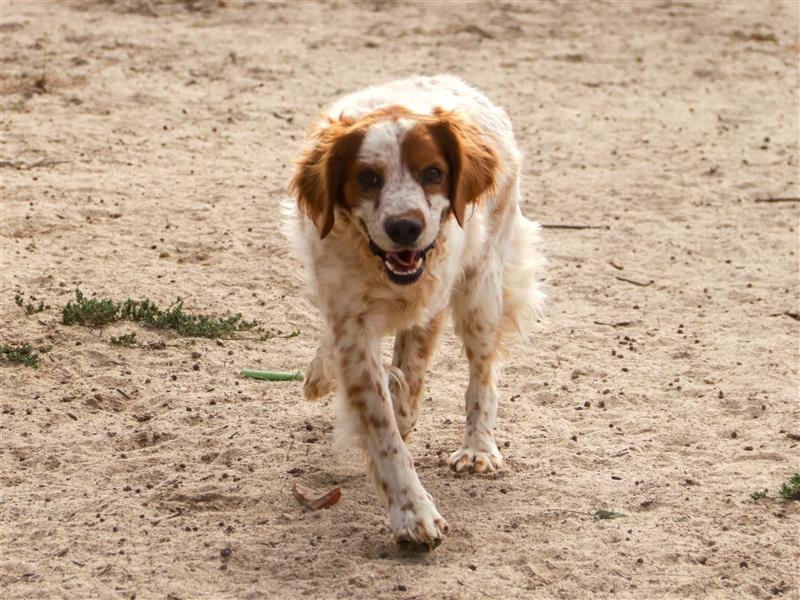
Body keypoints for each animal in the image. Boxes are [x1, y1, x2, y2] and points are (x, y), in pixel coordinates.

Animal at [284, 75, 548, 548]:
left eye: (433, 173)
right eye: (367, 177)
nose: (404, 227)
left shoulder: (430, 307)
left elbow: (406, 398)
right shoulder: (349, 324)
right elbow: (383, 425)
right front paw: (411, 512)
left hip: (481, 292)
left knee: (483, 375)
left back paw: (478, 449)